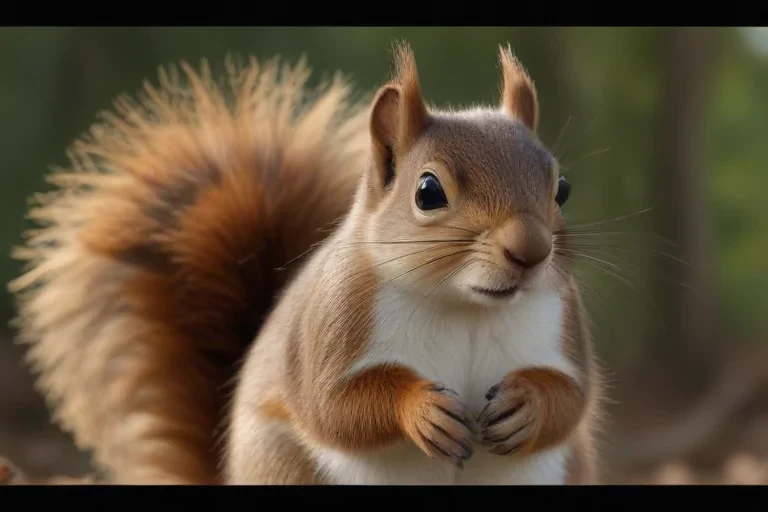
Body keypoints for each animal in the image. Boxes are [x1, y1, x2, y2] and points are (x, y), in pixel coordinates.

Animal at [6, 41, 603, 485]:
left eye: (563, 188)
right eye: (428, 192)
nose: (531, 251)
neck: (464, 306)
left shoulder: (565, 320)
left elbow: (573, 399)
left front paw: (528, 403)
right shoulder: (333, 320)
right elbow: (332, 406)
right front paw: (419, 409)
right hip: (286, 464)